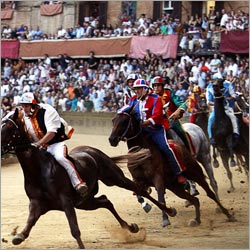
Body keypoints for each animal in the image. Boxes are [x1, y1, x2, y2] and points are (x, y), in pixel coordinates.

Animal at [0, 108, 176, 249]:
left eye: (8, 128)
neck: (38, 170)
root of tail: (93, 151)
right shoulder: (37, 203)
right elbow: (29, 223)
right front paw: (18, 236)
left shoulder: (66, 201)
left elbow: (75, 229)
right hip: (84, 202)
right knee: (106, 201)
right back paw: (131, 227)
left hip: (114, 178)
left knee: (139, 190)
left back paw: (169, 211)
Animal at [108, 106, 236, 228]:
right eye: (113, 120)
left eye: (124, 121)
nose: (112, 139)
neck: (141, 153)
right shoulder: (138, 180)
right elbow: (140, 194)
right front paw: (147, 206)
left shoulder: (158, 179)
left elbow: (160, 198)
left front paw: (165, 219)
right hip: (175, 186)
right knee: (195, 199)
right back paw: (196, 219)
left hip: (198, 169)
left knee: (210, 191)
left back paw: (227, 214)